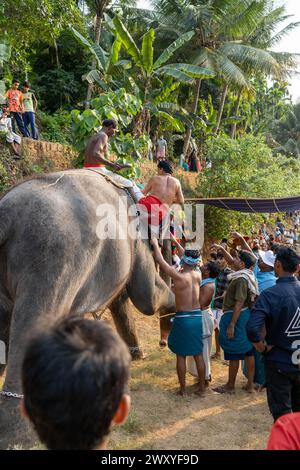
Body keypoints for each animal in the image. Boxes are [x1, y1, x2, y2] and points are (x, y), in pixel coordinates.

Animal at [0, 169, 175, 448]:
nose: (162, 342)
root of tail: (6, 214)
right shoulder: (136, 240)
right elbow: (145, 298)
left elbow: (120, 302)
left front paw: (135, 356)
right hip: (48, 265)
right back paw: (20, 438)